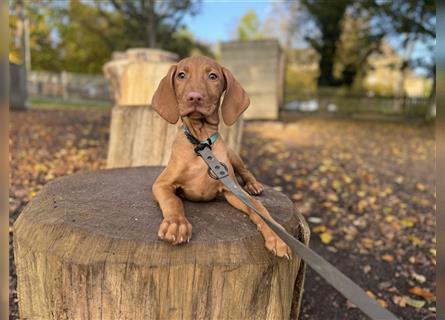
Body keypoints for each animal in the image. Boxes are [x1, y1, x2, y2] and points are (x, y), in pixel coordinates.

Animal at [152, 56, 292, 258]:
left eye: (213, 76)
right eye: (181, 75)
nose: (194, 97)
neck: (202, 143)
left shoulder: (233, 190)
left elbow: (258, 207)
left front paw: (277, 235)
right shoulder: (162, 183)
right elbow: (173, 200)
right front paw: (176, 224)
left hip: (233, 155)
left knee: (244, 170)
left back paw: (254, 185)